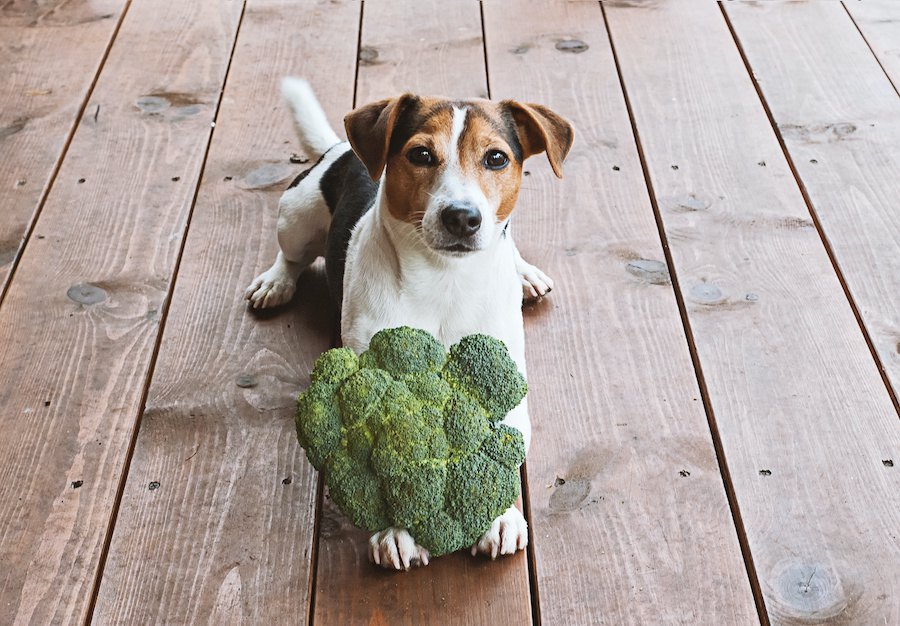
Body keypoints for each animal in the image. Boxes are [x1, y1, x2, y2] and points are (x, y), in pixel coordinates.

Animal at [243, 77, 572, 564]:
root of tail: (340, 149)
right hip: (296, 216)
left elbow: (501, 444)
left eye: (496, 158)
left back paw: (524, 272)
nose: (462, 217)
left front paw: (499, 516)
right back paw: (276, 281)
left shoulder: (504, 378)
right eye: (420, 154)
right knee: (292, 254)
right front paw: (396, 530)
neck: (444, 278)